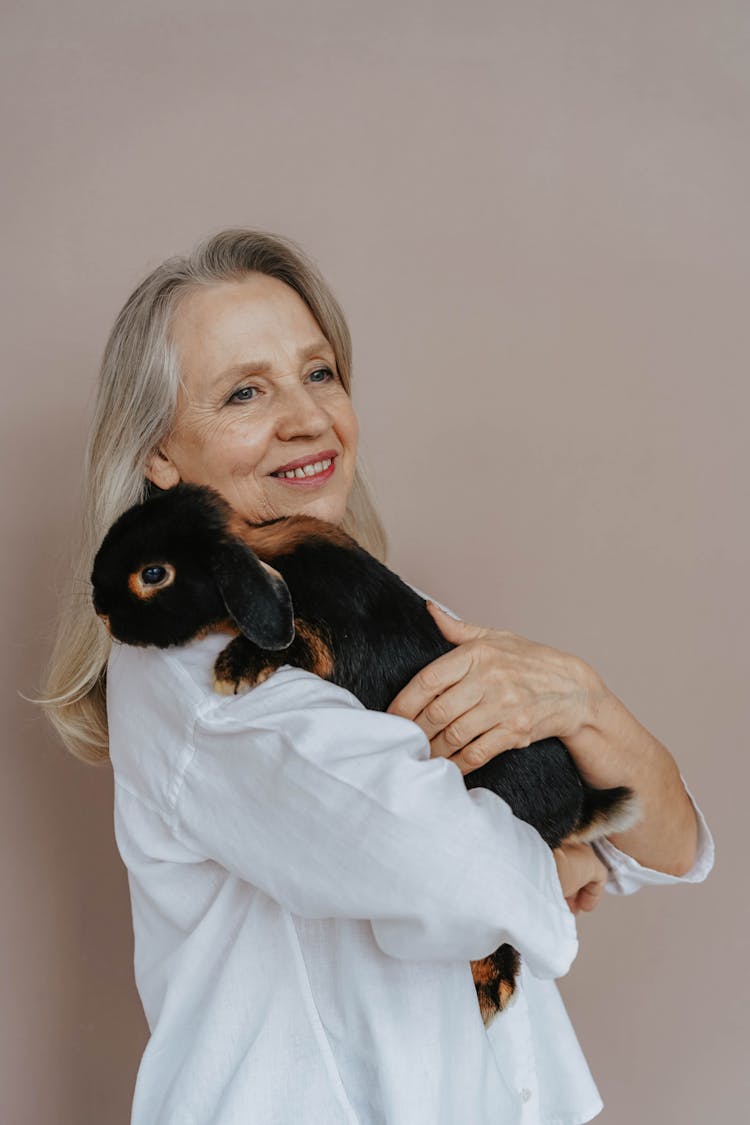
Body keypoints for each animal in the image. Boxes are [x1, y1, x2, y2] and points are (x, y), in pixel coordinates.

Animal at [89, 479, 638, 1026]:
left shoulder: (324, 643)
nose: (99, 604)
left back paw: (489, 995)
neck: (267, 556)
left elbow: (293, 643)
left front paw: (233, 669)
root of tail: (578, 807)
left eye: (154, 574)